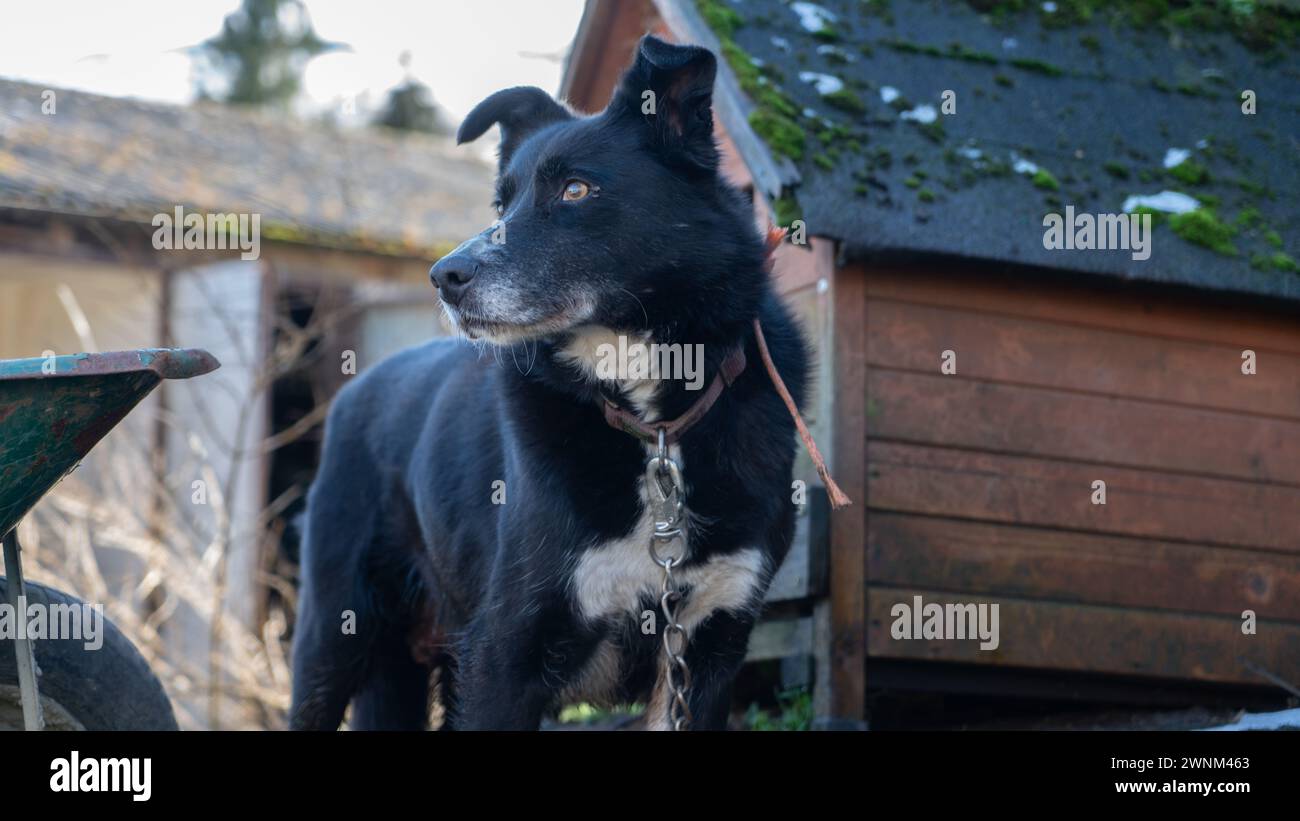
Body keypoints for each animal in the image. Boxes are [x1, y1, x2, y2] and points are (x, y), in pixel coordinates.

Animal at [289, 35, 806, 732]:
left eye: (576, 190)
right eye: (501, 204)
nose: (443, 276)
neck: (652, 425)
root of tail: (360, 385)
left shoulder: (704, 654)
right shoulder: (501, 655)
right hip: (332, 636)